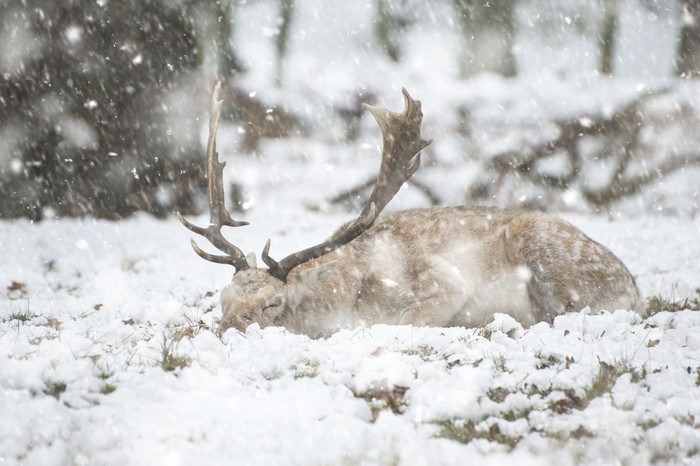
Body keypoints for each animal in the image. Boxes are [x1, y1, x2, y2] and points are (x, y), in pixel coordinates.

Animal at [179, 83, 640, 338]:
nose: (225, 332)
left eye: (273, 304)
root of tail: (634, 288)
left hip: (548, 249)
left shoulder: (445, 283)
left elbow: (402, 323)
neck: (346, 299)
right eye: (222, 299)